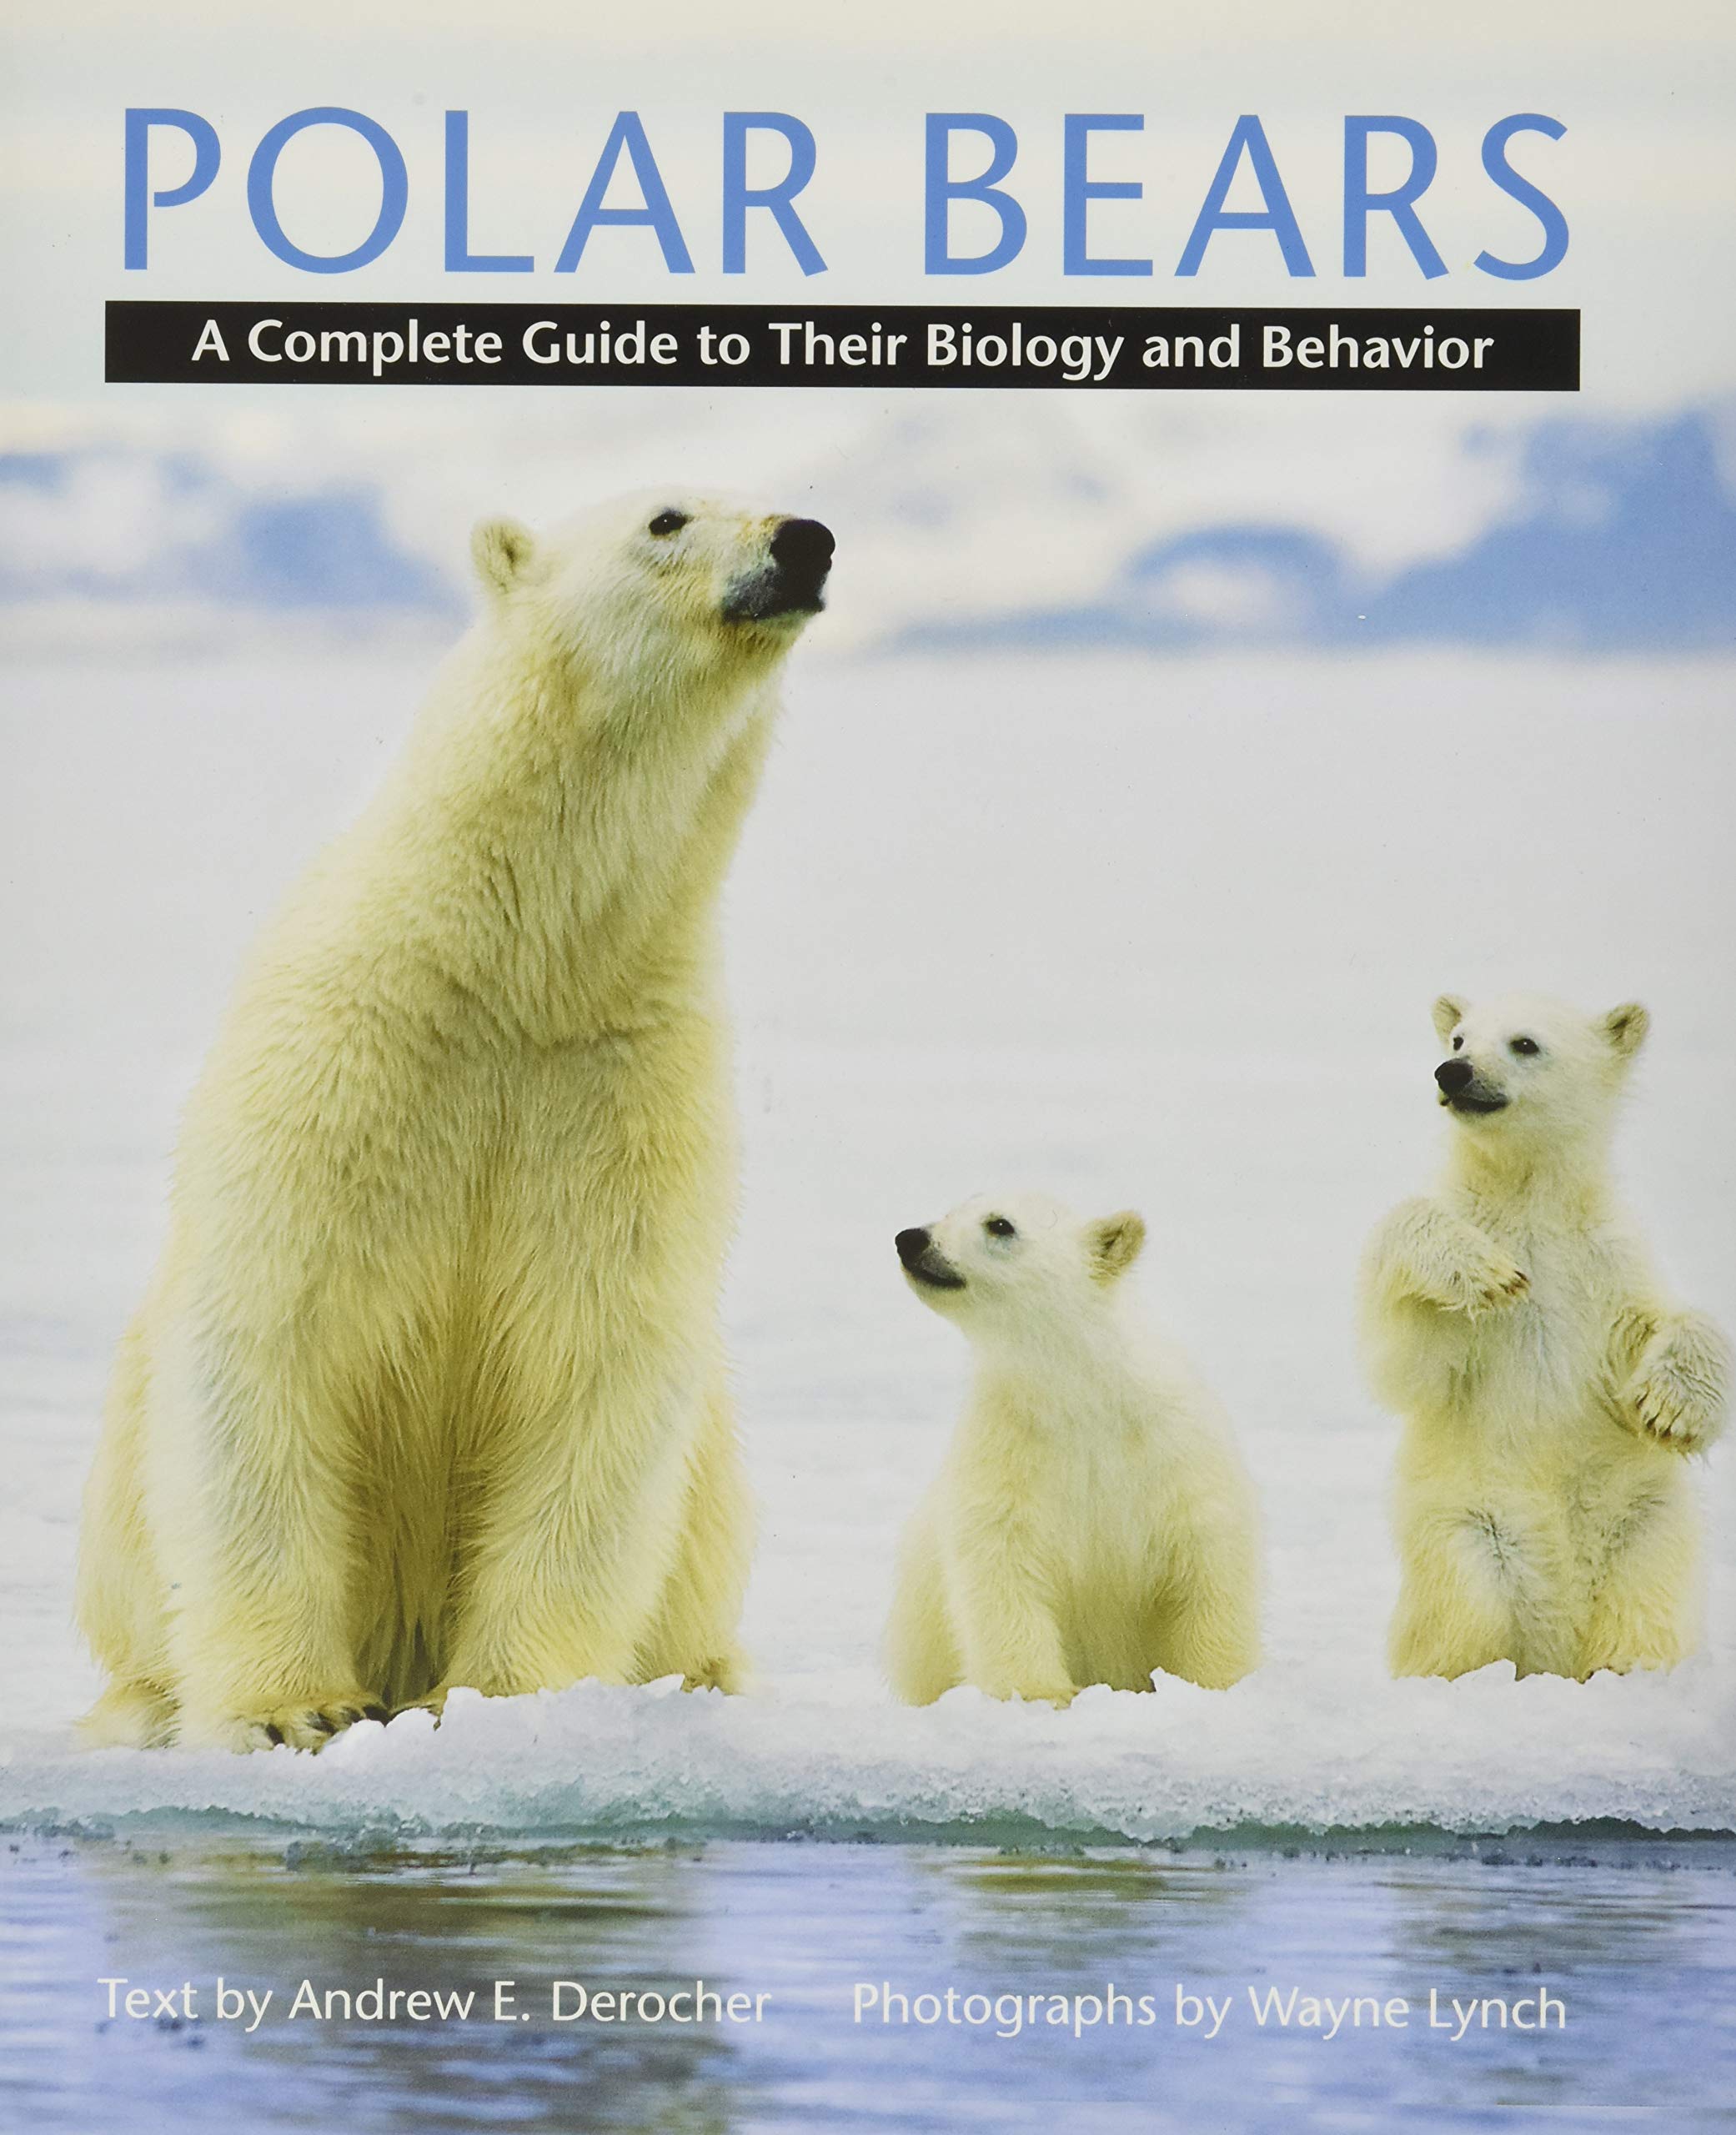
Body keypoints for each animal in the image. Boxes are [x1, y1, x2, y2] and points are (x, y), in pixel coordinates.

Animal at [75, 489, 835, 1751]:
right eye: (666, 516)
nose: (804, 541)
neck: (520, 971)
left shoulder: (621, 1095)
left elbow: (597, 1368)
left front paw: (497, 1698)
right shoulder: (345, 1065)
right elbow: (269, 1339)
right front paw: (295, 1708)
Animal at [883, 1193, 1262, 1706]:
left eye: (1000, 1224)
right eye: (950, 1210)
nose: (911, 1239)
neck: (1082, 1393)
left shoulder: (1175, 1447)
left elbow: (1206, 1559)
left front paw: (1213, 1683)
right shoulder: (1007, 1447)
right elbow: (1002, 1565)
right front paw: (1044, 1693)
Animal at [1360, 991, 1729, 1682]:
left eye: (1525, 1043)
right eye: (1458, 1038)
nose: (1453, 1073)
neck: (1530, 1198)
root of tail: (1556, 1649)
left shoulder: (1608, 1272)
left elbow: (1671, 1325)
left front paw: (1671, 1407)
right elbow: (1413, 1360)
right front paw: (1479, 1268)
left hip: (1642, 1527)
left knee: (1644, 1609)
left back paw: (1625, 1668)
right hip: (1474, 1533)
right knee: (1464, 1613)